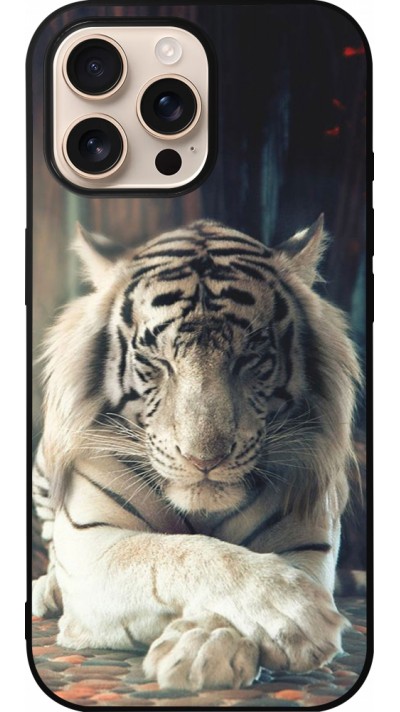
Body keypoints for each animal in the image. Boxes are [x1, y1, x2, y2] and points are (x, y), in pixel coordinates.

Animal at [32, 216, 361, 691]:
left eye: (250, 357)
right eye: (156, 361)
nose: (204, 460)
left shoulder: (307, 543)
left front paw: (206, 646)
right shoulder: (93, 543)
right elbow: (179, 552)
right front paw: (292, 612)